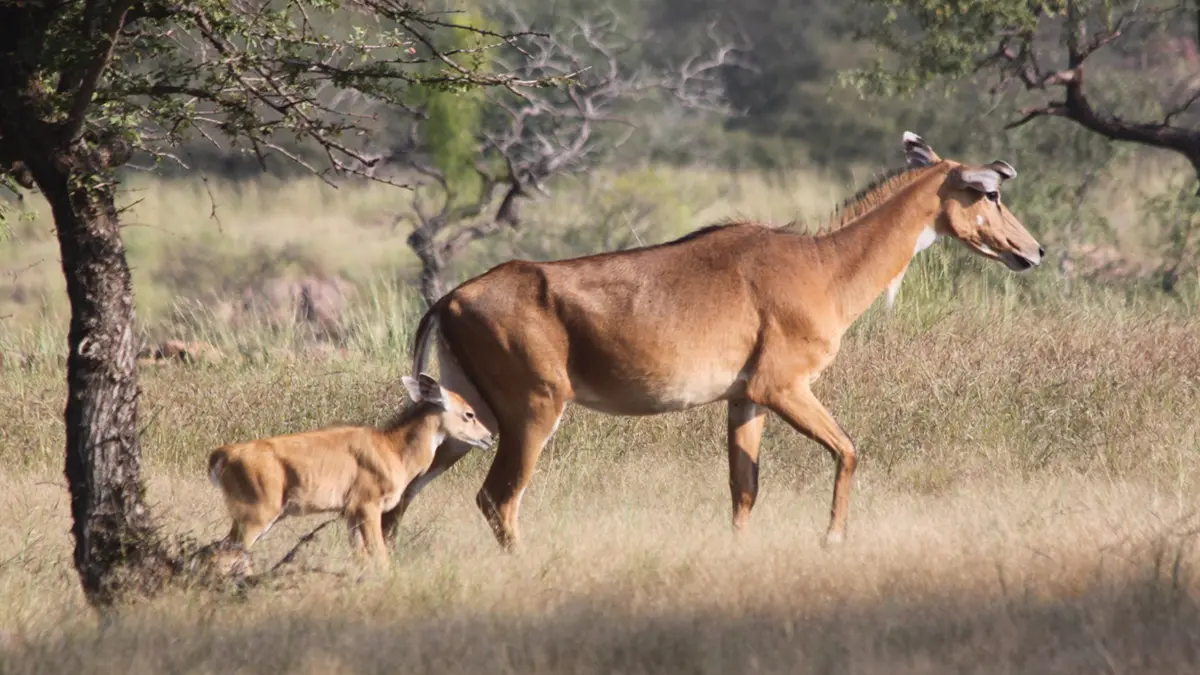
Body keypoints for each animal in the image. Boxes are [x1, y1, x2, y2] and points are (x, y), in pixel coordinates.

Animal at [206, 369, 492, 564]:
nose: (489, 437)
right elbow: (380, 556)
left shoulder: (349, 513)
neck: (392, 449)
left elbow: (360, 558)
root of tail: (222, 455)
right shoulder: (367, 505)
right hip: (257, 512)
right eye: (469, 413)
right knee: (223, 555)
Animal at [391, 130, 1041, 547]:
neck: (823, 266)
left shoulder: (744, 399)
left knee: (407, 483)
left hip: (467, 417)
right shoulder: (783, 386)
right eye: (990, 193)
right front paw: (832, 539)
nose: (1033, 250)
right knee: (497, 498)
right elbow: (849, 449)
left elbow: (743, 489)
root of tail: (450, 299)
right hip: (532, 409)